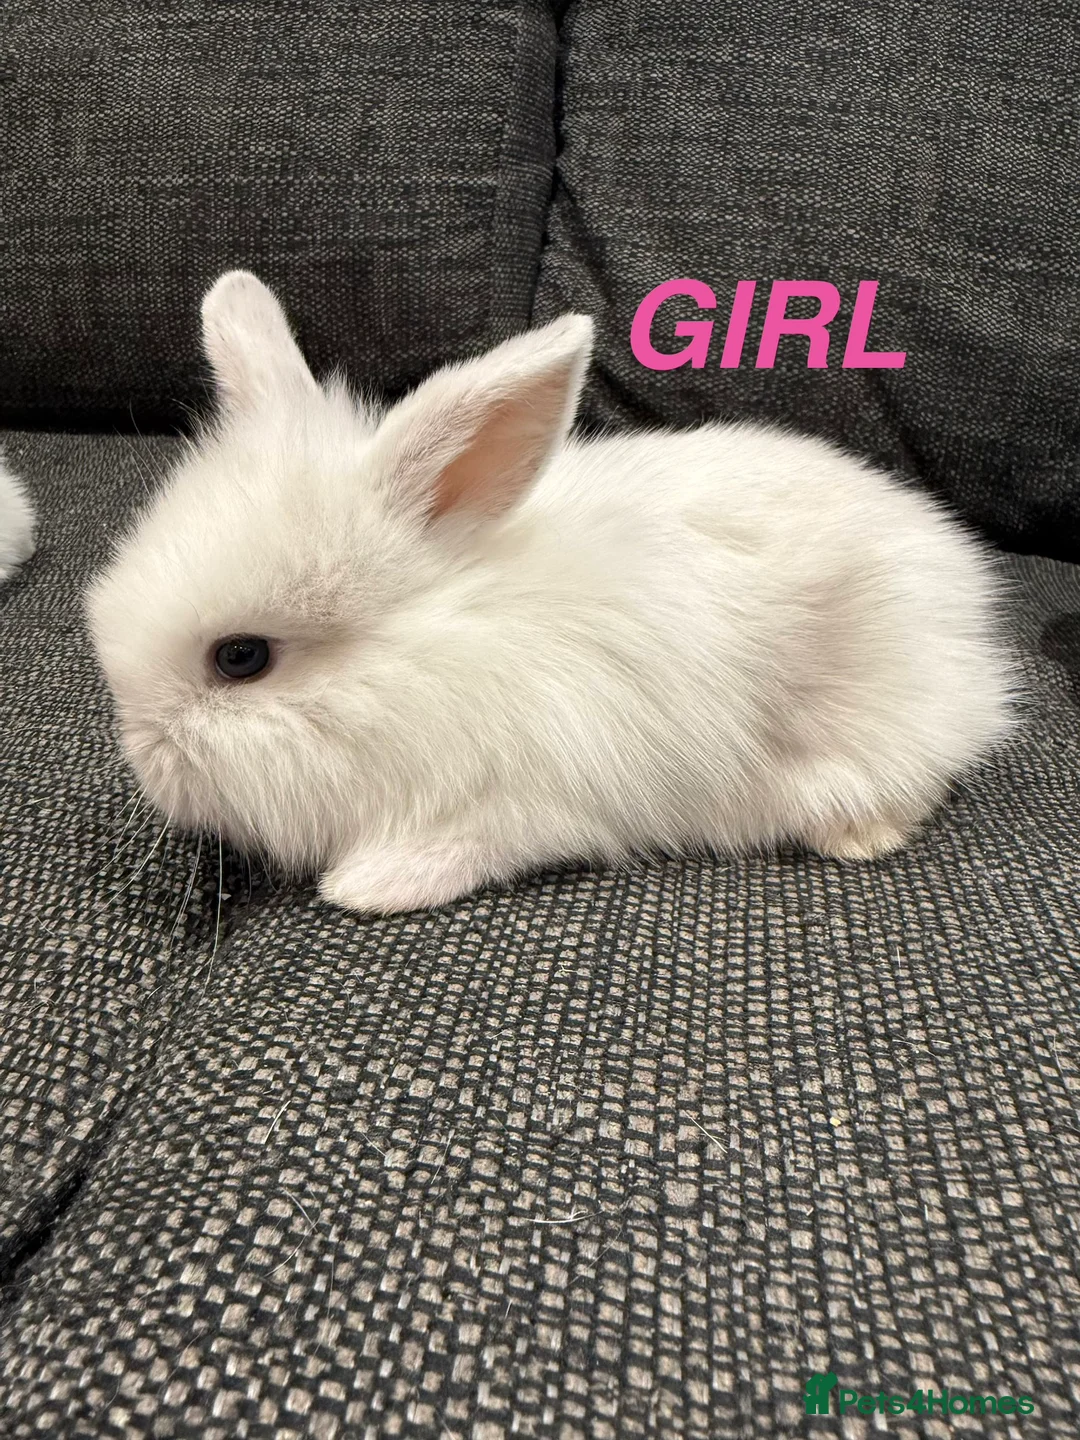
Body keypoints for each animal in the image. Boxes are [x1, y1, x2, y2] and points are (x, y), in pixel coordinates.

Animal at [86, 270, 1015, 916]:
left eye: (241, 658)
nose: (144, 761)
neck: (437, 652)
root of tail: (961, 585)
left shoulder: (533, 799)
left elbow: (473, 845)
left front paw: (369, 885)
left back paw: (861, 836)